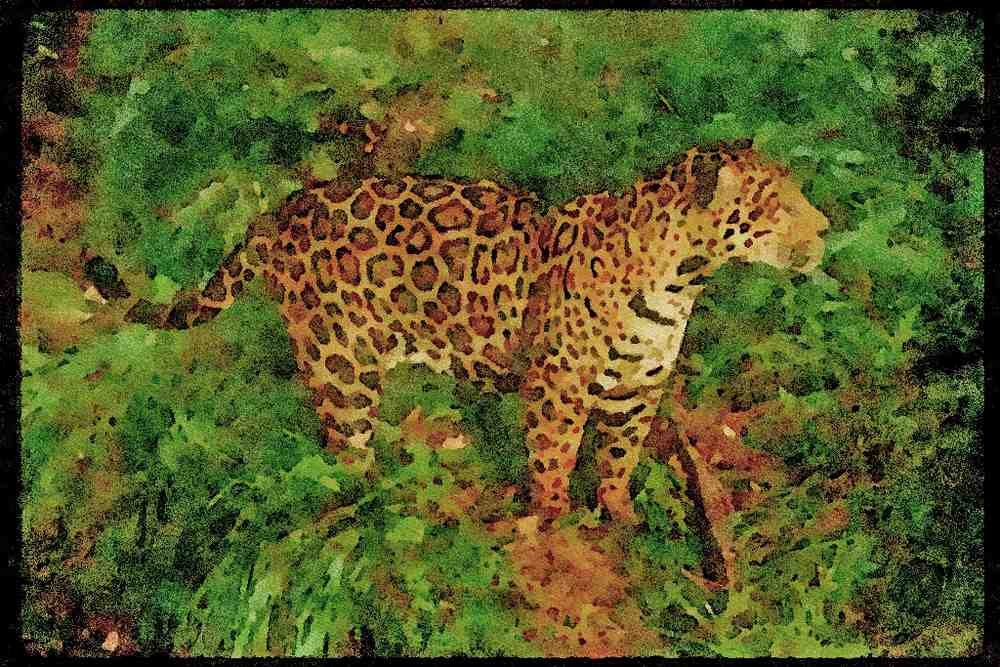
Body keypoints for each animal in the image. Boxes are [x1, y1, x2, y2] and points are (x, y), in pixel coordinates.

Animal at [125, 140, 828, 524]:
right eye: (777, 207)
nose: (825, 230)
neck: (681, 281)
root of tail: (280, 210)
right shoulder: (557, 387)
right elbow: (553, 461)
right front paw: (556, 526)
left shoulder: (638, 391)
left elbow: (619, 460)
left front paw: (620, 517)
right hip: (340, 365)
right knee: (344, 453)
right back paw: (373, 505)